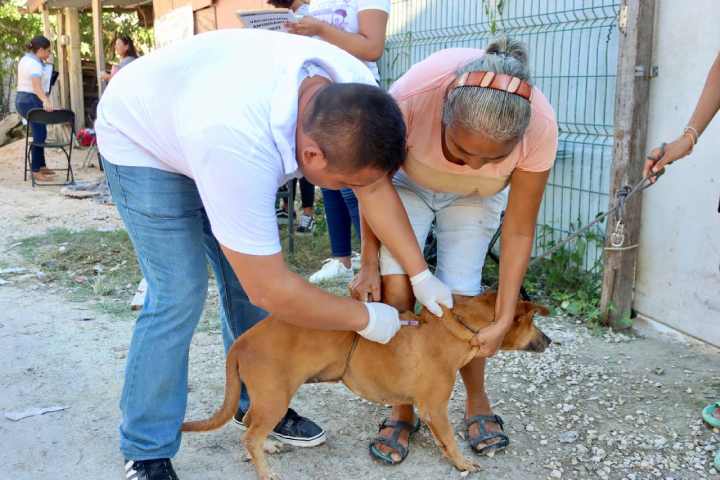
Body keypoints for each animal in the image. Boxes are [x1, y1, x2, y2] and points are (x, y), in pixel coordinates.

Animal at [183, 290, 548, 478]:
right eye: (533, 322)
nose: (550, 341)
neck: (454, 328)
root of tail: (241, 342)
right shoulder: (435, 409)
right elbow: (449, 442)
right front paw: (461, 463)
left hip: (265, 399)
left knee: (248, 428)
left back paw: (266, 449)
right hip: (274, 397)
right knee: (249, 435)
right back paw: (266, 470)